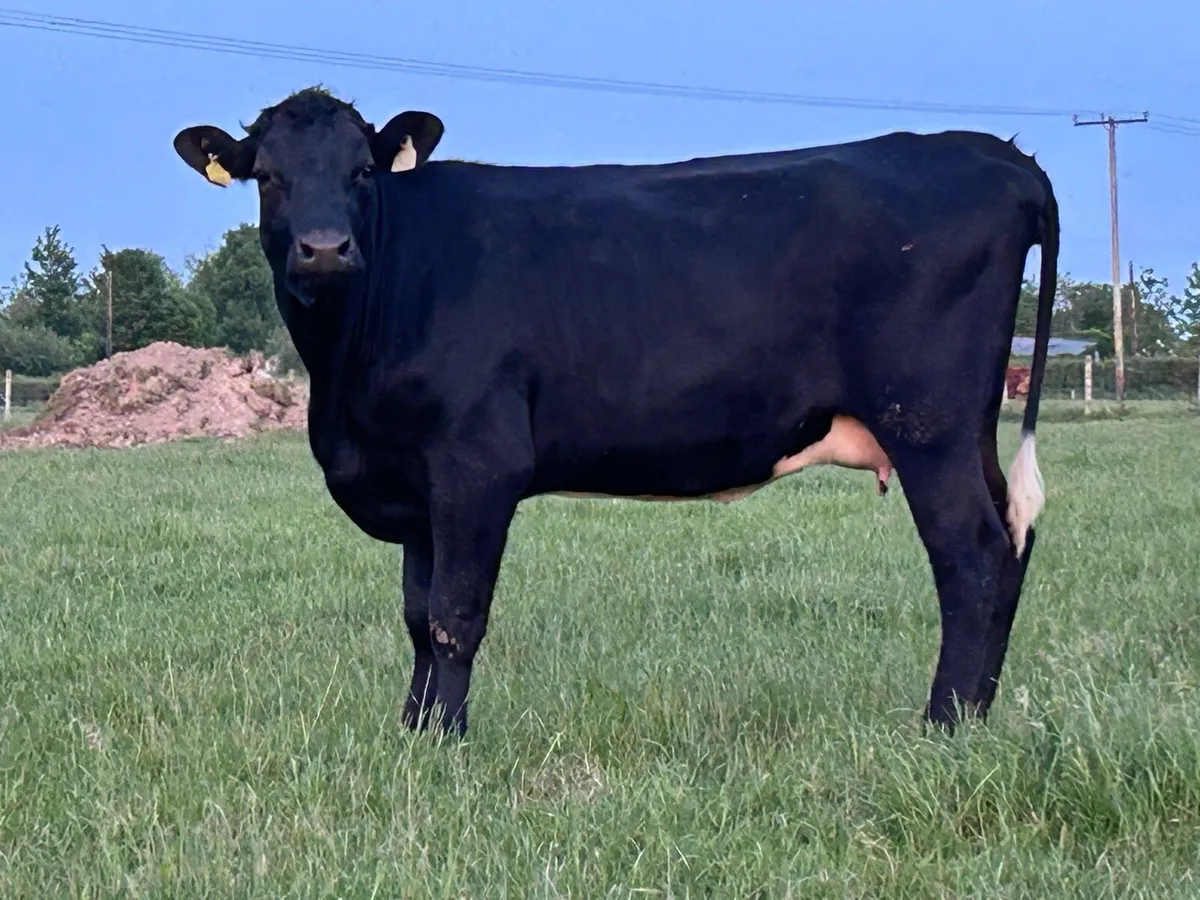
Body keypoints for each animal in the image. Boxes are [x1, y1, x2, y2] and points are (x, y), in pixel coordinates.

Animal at [173, 87, 1057, 738]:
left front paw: (448, 742)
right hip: (966, 430)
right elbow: (418, 617)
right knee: (1012, 544)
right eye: (267, 175)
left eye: (363, 171)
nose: (325, 248)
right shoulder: (415, 482)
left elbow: (456, 614)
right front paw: (412, 732)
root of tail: (993, 153)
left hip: (927, 424)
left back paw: (943, 727)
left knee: (972, 555)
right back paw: (979, 717)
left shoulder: (475, 464)